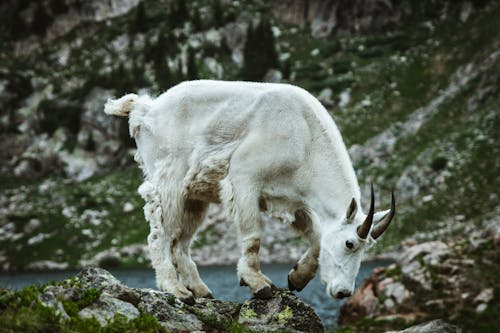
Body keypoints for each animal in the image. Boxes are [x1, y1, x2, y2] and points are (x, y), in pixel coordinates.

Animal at [104, 80, 394, 304]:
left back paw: (201, 291)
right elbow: (253, 236)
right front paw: (258, 283)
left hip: (193, 196)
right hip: (169, 180)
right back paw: (176, 290)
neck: (306, 140)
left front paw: (295, 278)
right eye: (349, 243)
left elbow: (315, 237)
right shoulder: (244, 178)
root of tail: (145, 111)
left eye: (367, 249)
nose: (343, 292)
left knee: (180, 243)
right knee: (159, 236)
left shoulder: (292, 201)